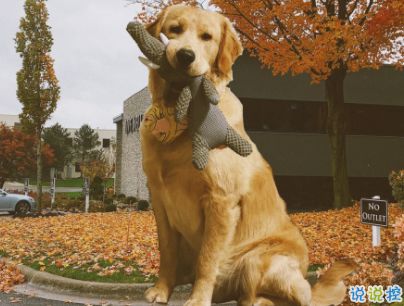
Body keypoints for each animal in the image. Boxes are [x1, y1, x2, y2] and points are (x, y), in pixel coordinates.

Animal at [139, 4, 354, 306]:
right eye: (174, 29)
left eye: (207, 37)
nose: (185, 56)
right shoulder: (159, 198)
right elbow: (167, 250)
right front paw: (161, 290)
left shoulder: (220, 200)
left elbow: (207, 258)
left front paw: (198, 299)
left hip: (260, 259)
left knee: (277, 297)